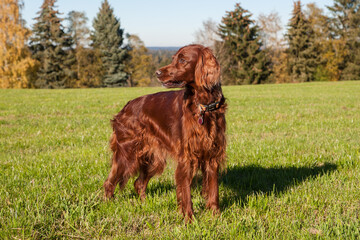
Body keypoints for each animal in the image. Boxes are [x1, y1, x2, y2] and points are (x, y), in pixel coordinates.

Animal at [104, 43, 226, 219]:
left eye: (182, 60)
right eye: (174, 58)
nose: (157, 73)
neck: (203, 107)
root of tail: (125, 108)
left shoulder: (212, 154)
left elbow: (213, 190)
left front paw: (215, 215)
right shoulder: (186, 157)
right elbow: (185, 192)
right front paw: (189, 218)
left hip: (153, 157)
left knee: (139, 183)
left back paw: (144, 204)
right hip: (127, 153)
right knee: (110, 181)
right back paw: (107, 204)